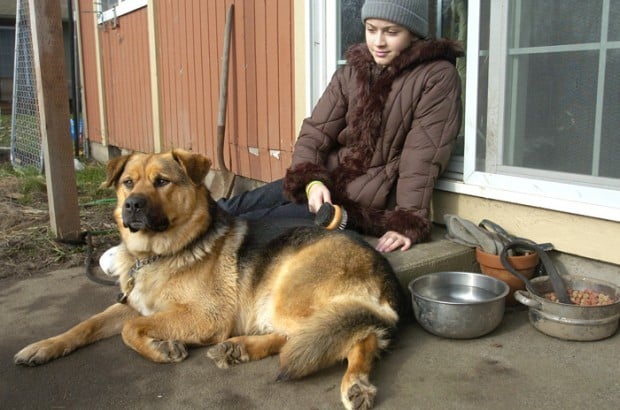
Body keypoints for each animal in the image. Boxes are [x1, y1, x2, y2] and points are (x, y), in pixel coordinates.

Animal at [14, 151, 406, 410]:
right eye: (127, 183)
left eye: (161, 182)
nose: (133, 205)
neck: (163, 252)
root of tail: (382, 267)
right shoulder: (133, 305)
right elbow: (87, 325)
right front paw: (43, 347)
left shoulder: (205, 317)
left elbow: (130, 330)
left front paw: (162, 348)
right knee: (299, 339)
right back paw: (239, 348)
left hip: (288, 296)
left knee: (357, 335)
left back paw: (354, 383)